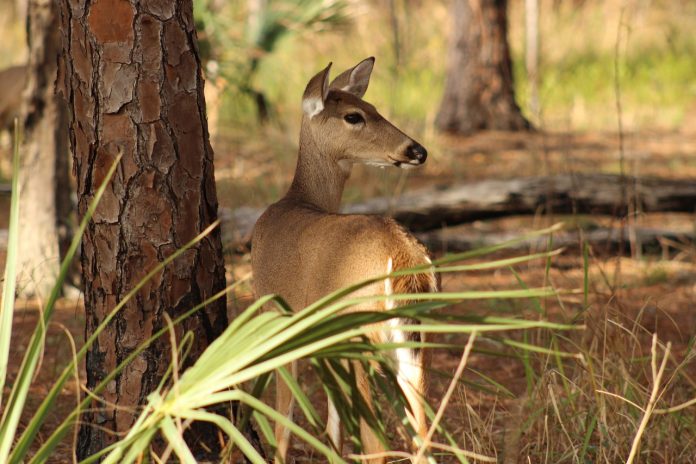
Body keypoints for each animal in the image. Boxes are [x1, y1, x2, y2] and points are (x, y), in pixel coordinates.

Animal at [251, 57, 438, 464]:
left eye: (371, 108)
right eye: (355, 115)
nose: (417, 150)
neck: (298, 201)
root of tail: (402, 258)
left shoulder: (278, 316)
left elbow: (284, 421)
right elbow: (333, 424)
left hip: (360, 335)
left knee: (377, 443)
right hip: (412, 341)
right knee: (423, 436)